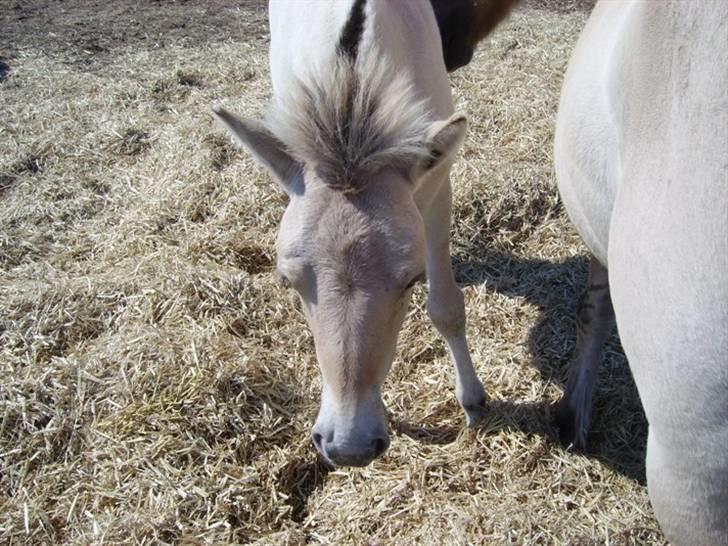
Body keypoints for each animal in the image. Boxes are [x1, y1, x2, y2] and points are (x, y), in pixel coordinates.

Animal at [212, 1, 506, 468]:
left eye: (412, 279)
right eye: (288, 281)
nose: (348, 445)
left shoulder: (437, 186)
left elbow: (446, 308)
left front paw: (474, 401)